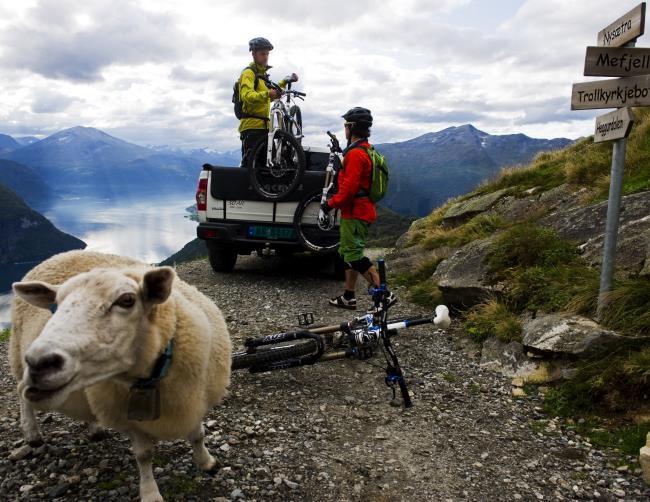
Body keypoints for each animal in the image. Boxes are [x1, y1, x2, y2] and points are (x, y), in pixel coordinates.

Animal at [9, 249, 230, 500]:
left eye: (127, 300)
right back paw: (32, 434)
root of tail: (57, 255)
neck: (148, 380)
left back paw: (94, 428)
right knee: (21, 391)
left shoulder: (196, 399)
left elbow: (198, 435)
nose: (39, 362)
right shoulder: (129, 419)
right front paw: (150, 492)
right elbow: (143, 455)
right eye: (55, 305)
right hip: (18, 355)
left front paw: (207, 462)